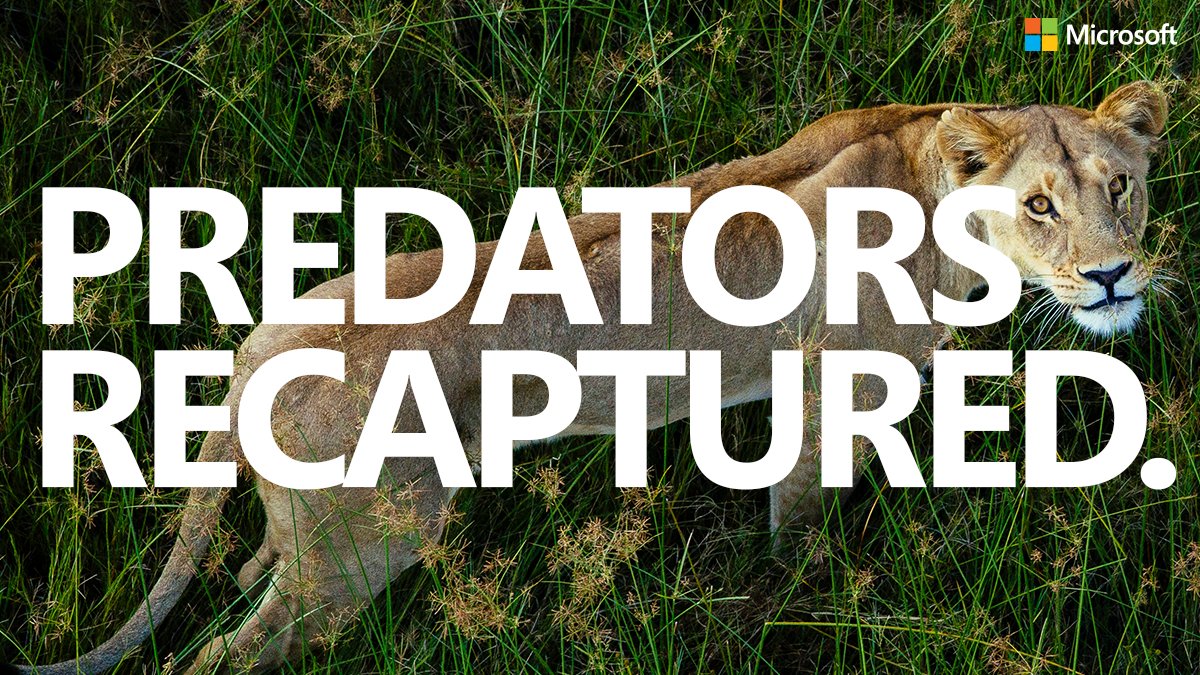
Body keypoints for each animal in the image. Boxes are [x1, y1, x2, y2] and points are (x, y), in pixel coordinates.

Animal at [9, 81, 1168, 674]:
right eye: (1040, 205)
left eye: (1122, 188)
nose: (1114, 275)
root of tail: (251, 356)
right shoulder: (824, 390)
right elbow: (798, 528)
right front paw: (797, 601)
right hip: (366, 549)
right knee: (217, 656)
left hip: (318, 532)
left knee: (258, 562)